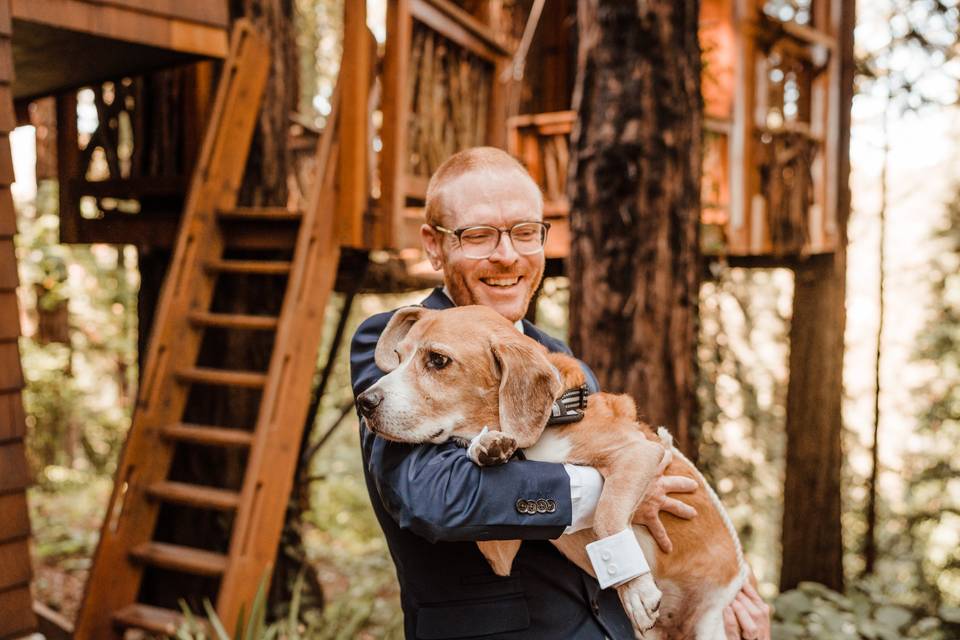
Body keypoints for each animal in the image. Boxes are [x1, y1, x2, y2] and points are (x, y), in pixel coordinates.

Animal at [356, 306, 748, 640]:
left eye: (438, 360)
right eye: (398, 356)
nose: (364, 402)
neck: (550, 422)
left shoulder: (640, 453)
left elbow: (606, 515)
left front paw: (634, 588)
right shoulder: (500, 550)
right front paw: (487, 445)